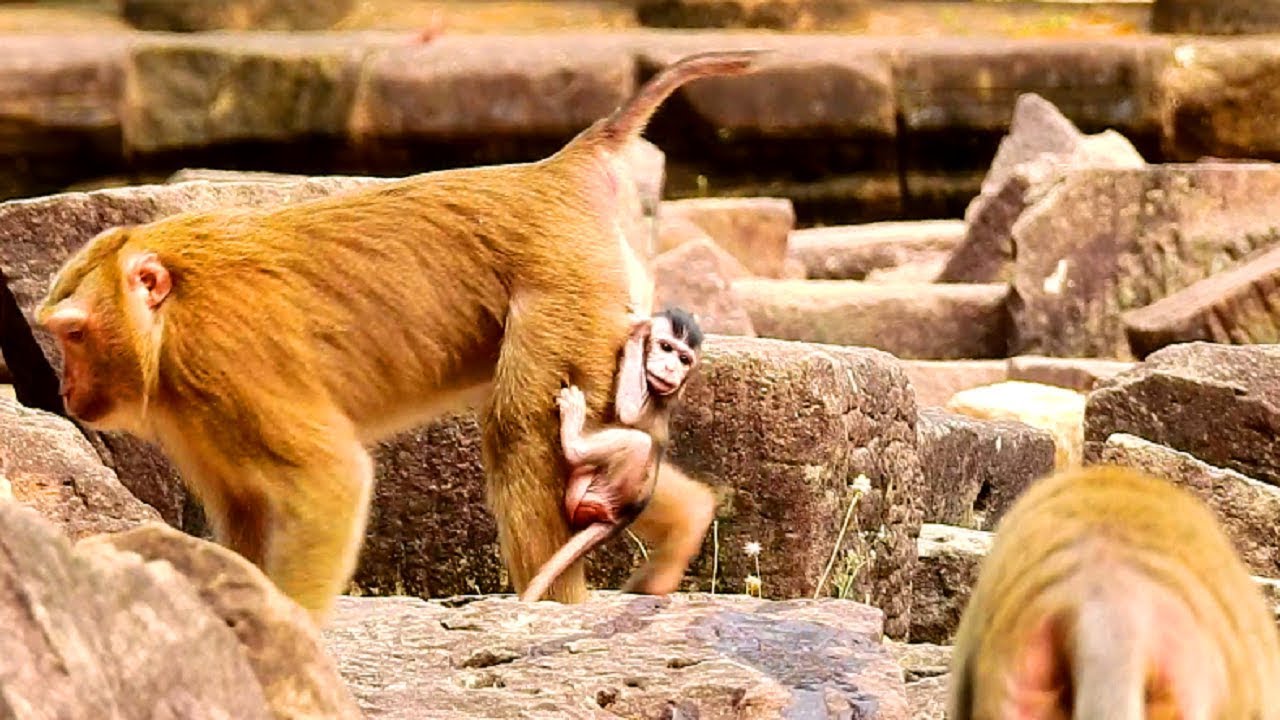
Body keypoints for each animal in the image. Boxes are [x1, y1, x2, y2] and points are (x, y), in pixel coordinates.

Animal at [520, 308, 704, 602]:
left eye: (684, 359)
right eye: (667, 348)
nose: (671, 368)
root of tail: (623, 516)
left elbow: (629, 413)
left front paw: (640, 331)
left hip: (611, 488)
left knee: (639, 443)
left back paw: (573, 441)